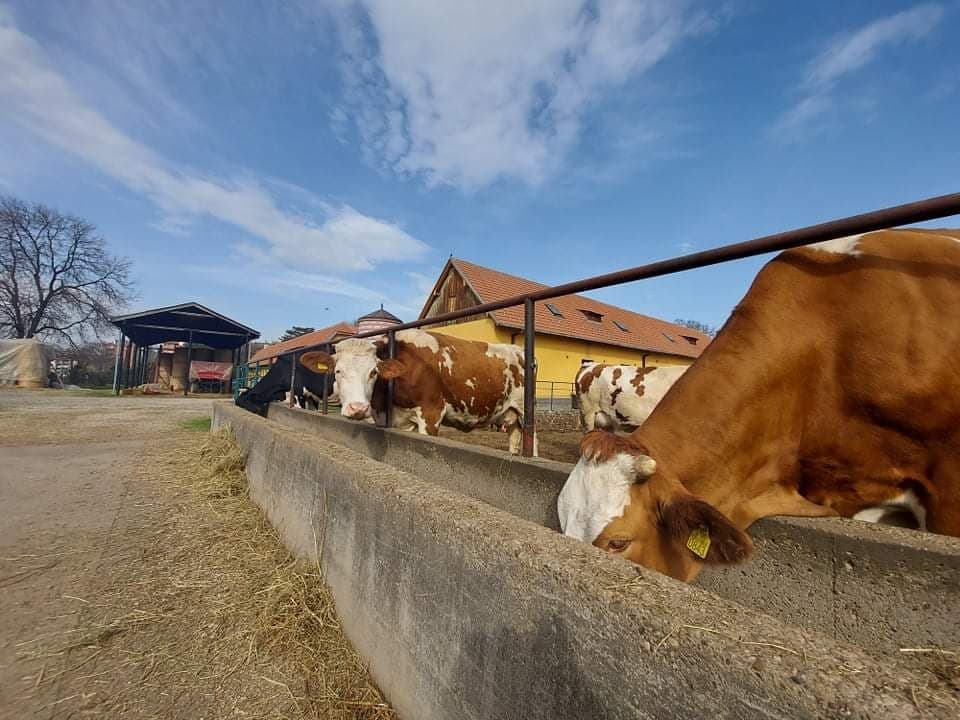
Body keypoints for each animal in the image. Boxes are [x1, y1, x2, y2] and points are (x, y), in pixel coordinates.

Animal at [300, 332, 536, 456]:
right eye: (338, 371)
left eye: (373, 372)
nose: (358, 408)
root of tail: (518, 349)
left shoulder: (431, 414)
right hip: (510, 414)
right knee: (515, 437)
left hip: (526, 410)